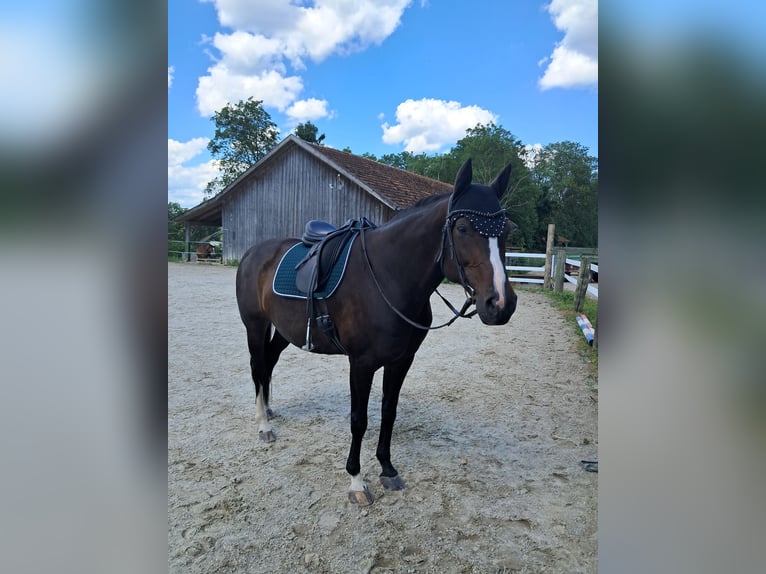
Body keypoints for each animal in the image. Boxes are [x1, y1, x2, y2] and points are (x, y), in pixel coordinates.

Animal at [235, 158, 518, 505]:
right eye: (463, 228)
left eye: (507, 230)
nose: (501, 304)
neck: (388, 276)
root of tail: (254, 252)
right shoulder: (361, 363)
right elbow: (359, 419)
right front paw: (357, 481)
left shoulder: (401, 361)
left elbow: (388, 411)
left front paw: (387, 468)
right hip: (255, 325)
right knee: (258, 365)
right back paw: (263, 425)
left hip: (284, 331)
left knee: (269, 362)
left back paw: (269, 410)